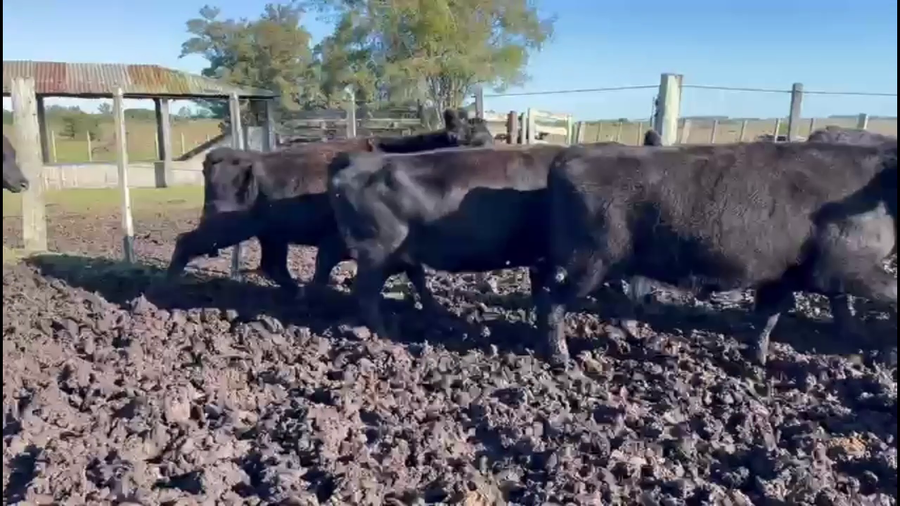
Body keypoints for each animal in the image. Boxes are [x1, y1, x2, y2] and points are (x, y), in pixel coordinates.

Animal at [166, 108, 494, 294]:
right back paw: (167, 287)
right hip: (226, 227)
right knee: (185, 241)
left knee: (274, 266)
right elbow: (325, 267)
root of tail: (226, 153)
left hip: (271, 234)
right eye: (474, 142)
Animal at [538, 141, 897, 368]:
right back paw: (561, 358)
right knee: (553, 302)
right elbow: (890, 294)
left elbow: (768, 318)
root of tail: (570, 154)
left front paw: (757, 361)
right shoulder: (844, 271)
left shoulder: (781, 277)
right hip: (588, 262)